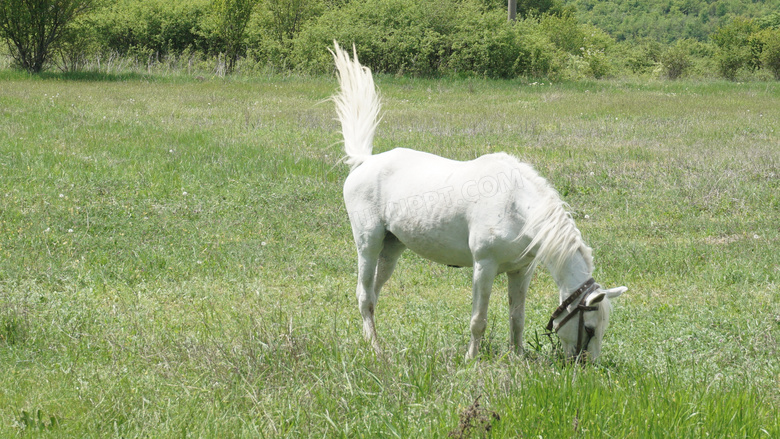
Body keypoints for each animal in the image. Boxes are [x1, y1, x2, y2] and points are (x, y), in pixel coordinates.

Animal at [330, 43, 628, 362]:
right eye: (590, 329)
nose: (586, 366)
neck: (517, 207)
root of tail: (364, 161)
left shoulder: (521, 271)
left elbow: (517, 317)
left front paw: (517, 357)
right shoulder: (484, 267)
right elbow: (479, 319)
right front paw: (471, 359)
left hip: (391, 248)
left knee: (373, 293)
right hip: (368, 243)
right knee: (364, 295)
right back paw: (375, 348)